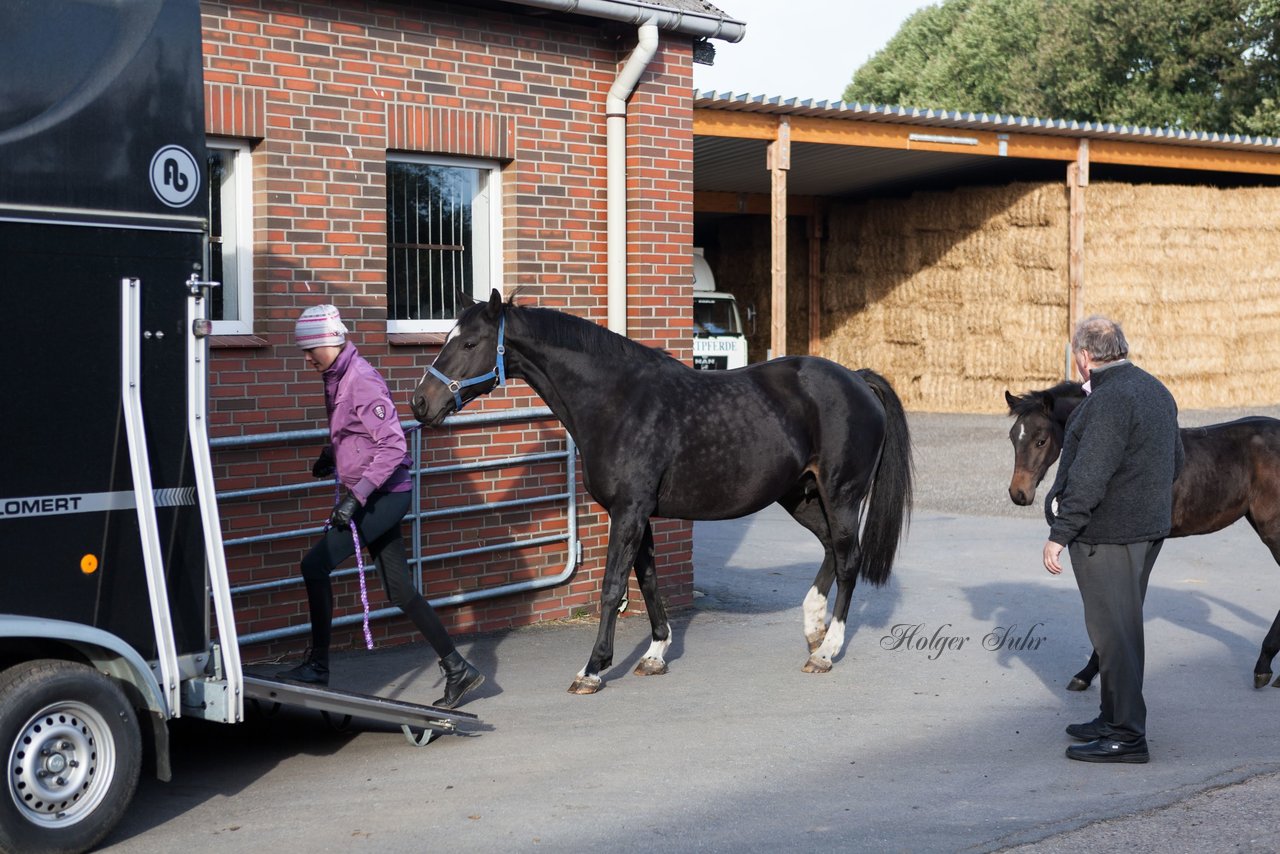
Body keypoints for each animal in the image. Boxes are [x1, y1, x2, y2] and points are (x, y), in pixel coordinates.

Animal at [409, 291, 911, 696]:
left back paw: (826, 650)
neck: (618, 402)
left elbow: (613, 586)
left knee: (848, 559)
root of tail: (856, 379)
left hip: (841, 494)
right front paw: (654, 654)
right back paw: (813, 625)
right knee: (831, 550)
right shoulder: (637, 513)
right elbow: (647, 578)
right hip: (802, 496)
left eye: (469, 343)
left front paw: (592, 670)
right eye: (449, 336)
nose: (420, 402)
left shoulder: (629, 511)